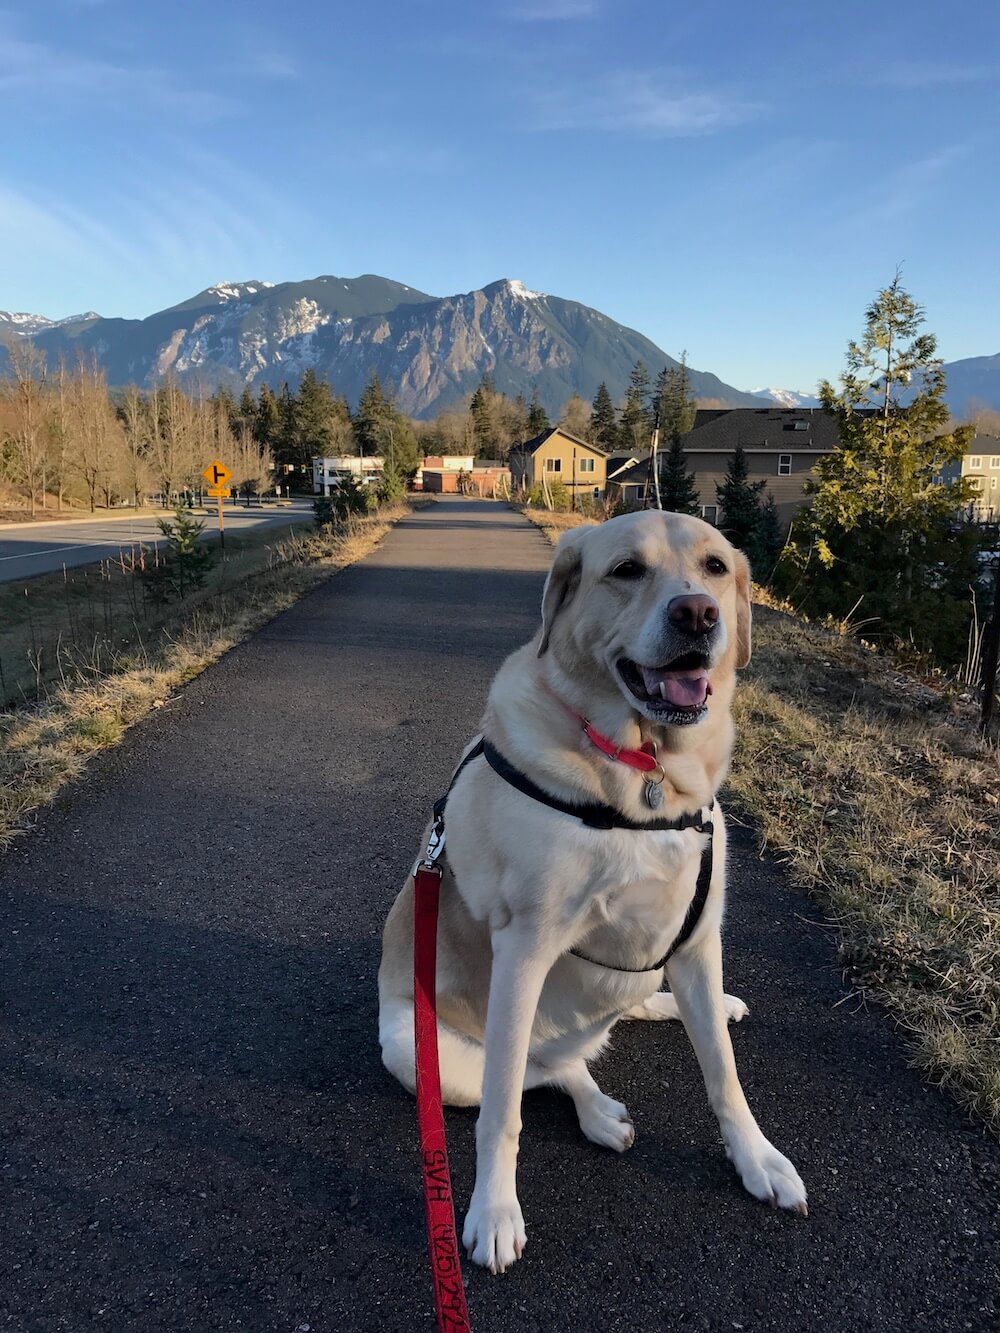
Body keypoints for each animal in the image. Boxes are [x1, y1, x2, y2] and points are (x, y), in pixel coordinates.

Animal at [378, 506, 810, 1269]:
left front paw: (756, 1158)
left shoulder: (698, 940)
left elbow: (724, 1074)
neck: (643, 772)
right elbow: (503, 1114)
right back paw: (596, 1109)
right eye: (626, 570)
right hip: (423, 1048)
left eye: (715, 567)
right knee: (541, 1068)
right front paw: (494, 1210)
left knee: (600, 1031)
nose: (697, 614)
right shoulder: (524, 951)